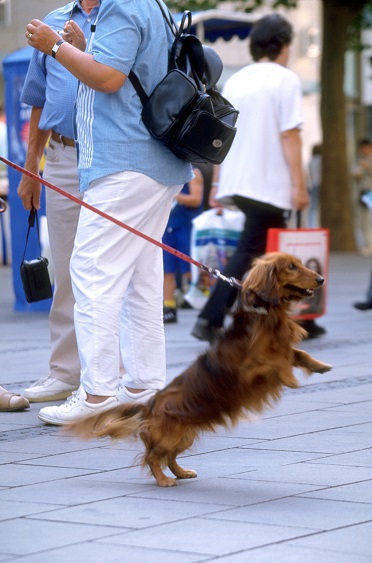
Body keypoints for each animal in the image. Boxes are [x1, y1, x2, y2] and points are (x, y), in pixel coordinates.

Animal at [67, 253, 332, 486]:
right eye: (291, 267)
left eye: (300, 263)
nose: (321, 279)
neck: (264, 314)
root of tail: (147, 407)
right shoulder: (252, 367)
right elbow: (279, 363)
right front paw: (291, 379)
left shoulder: (281, 350)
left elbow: (296, 354)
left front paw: (320, 366)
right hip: (170, 436)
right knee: (153, 457)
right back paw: (164, 480)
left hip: (184, 435)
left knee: (169, 458)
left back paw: (182, 473)